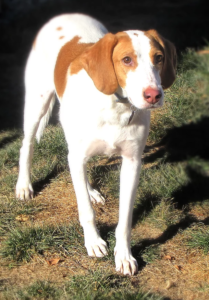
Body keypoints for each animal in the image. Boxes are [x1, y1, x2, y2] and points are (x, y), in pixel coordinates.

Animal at [16, 14, 176, 276]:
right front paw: (93, 242)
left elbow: (125, 219)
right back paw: (24, 185)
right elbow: (86, 211)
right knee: (27, 145)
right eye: (127, 59)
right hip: (37, 104)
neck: (115, 106)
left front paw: (124, 255)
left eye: (159, 58)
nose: (153, 95)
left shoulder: (132, 163)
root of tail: (63, 15)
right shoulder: (79, 154)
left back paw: (90, 191)